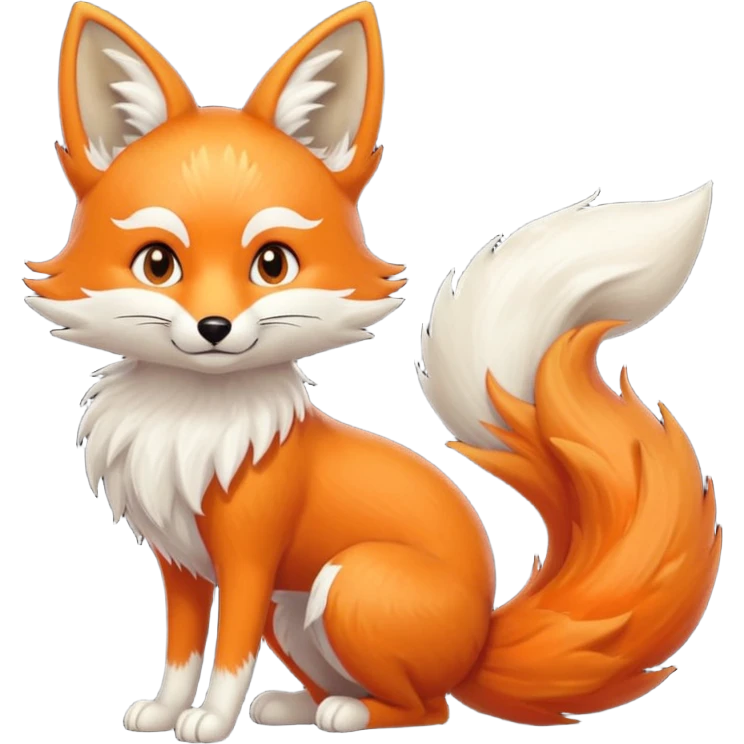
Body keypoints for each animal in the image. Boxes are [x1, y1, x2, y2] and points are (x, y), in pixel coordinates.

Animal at [25, 1, 720, 741]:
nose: (215, 329)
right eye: (158, 264)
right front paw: (163, 711)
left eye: (272, 264)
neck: (191, 422)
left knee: (428, 708)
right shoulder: (182, 564)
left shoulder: (249, 561)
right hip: (292, 611)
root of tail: (481, 640)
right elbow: (182, 652)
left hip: (348, 581)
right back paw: (294, 705)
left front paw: (210, 722)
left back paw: (348, 714)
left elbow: (229, 657)